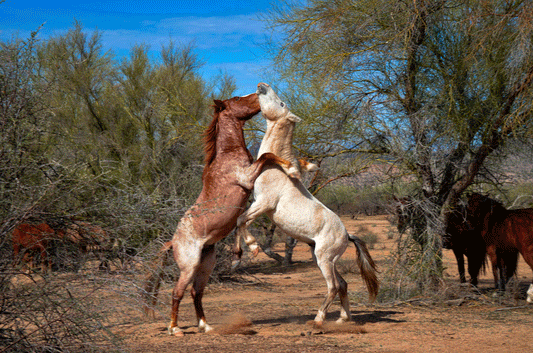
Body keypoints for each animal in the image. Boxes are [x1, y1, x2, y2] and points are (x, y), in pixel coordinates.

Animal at [236, 82, 378, 324]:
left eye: (281, 102)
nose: (262, 86)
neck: (276, 167)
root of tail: (347, 235)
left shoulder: (263, 204)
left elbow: (241, 220)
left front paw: (252, 248)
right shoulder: (256, 202)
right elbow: (239, 220)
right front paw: (239, 253)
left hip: (324, 259)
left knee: (333, 286)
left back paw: (319, 319)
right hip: (323, 258)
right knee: (342, 284)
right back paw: (343, 319)